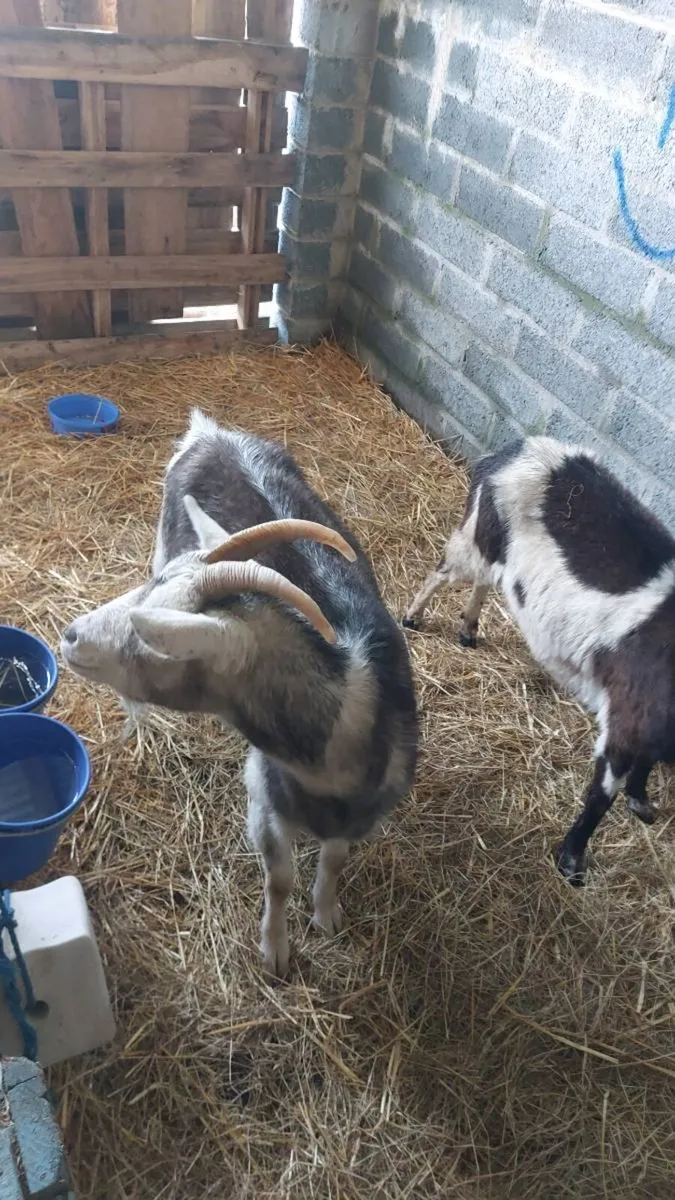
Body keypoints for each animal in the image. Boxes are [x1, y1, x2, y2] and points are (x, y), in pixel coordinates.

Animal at [61, 411, 418, 975]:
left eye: (157, 642)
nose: (71, 636)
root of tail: (208, 432)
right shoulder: (264, 798)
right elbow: (279, 879)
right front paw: (275, 951)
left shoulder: (360, 814)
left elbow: (335, 860)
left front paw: (326, 914)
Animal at [403, 435, 675, 884]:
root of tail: (515, 449)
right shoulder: (630, 712)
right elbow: (601, 794)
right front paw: (572, 863)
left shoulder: (650, 716)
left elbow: (648, 759)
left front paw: (640, 801)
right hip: (480, 533)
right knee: (444, 571)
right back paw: (412, 617)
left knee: (483, 580)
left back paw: (469, 630)